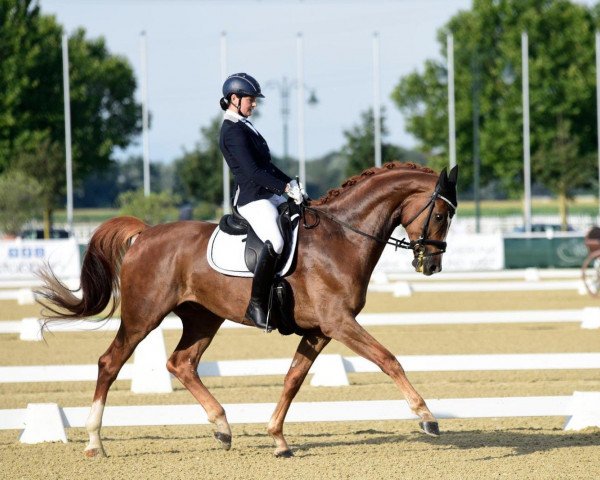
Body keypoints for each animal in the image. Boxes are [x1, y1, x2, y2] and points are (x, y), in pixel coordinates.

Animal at [36, 161, 460, 458]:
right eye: (441, 215)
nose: (432, 266)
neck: (342, 237)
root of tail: (145, 233)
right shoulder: (339, 323)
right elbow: (388, 360)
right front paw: (427, 418)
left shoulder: (319, 330)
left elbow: (292, 380)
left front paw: (278, 439)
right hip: (144, 315)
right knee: (110, 363)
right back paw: (94, 443)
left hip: (203, 318)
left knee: (182, 363)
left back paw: (222, 427)